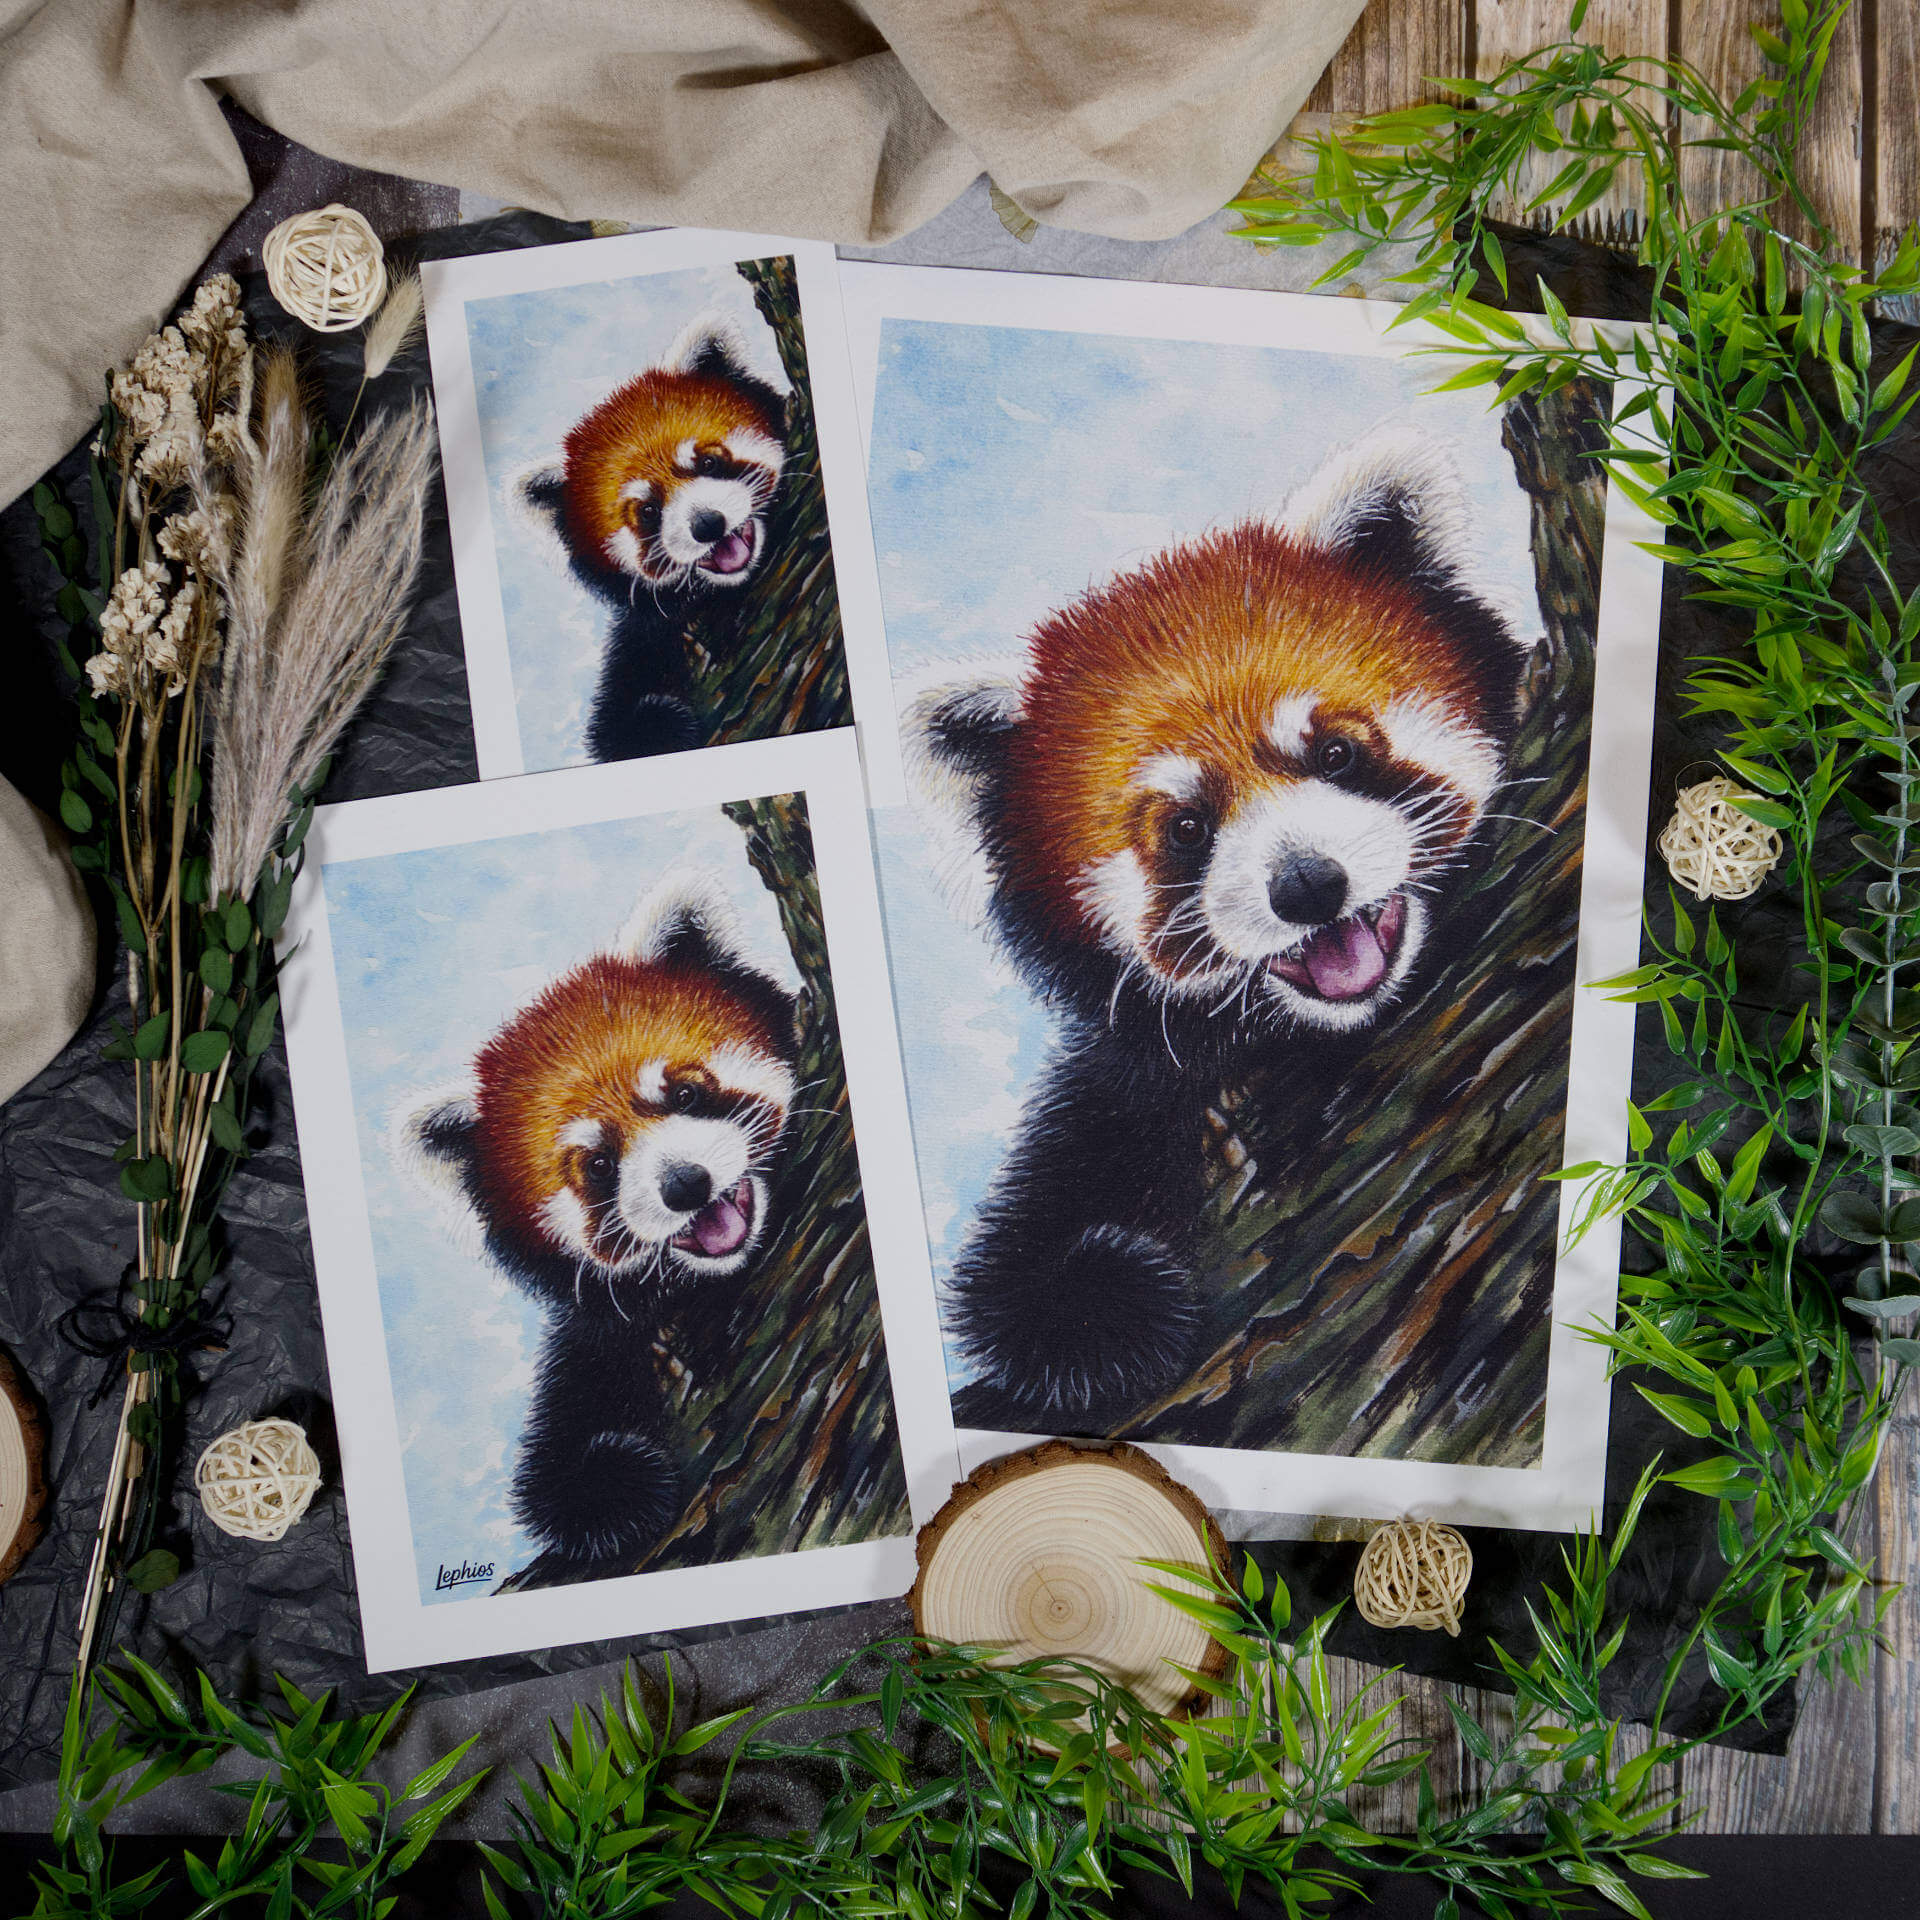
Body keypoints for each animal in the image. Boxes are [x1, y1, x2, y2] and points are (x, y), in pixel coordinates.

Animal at [902, 427, 1530, 1434]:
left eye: (1337, 753)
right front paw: (1096, 1304)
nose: (1307, 885)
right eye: (1188, 829)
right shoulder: (1128, 1078)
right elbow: (1041, 1244)